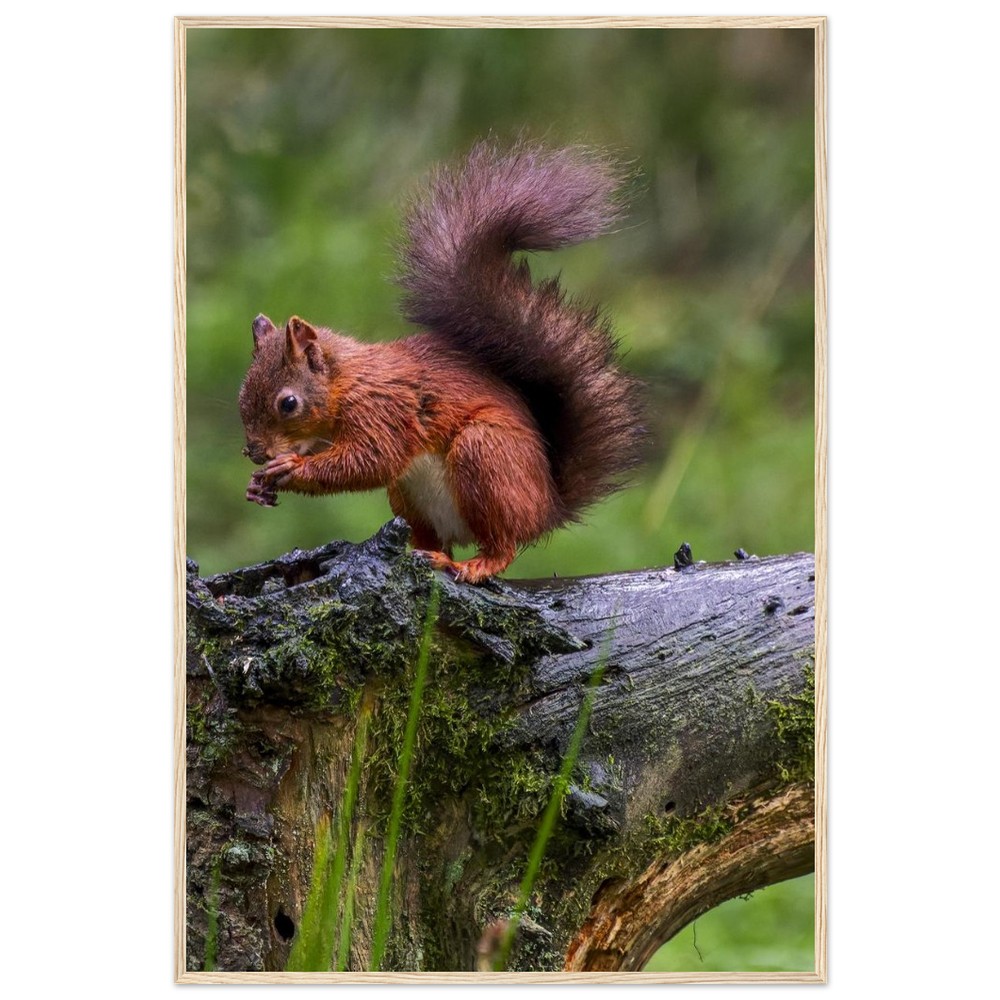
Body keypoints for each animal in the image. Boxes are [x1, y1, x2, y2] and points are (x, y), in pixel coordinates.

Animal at [239, 142, 646, 584]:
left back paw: (474, 564)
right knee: (432, 536)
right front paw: (258, 485)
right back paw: (425, 552)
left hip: (486, 457)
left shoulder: (383, 409)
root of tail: (546, 508)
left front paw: (291, 468)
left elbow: (369, 460)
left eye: (288, 403)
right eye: (241, 395)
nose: (254, 452)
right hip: (408, 496)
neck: (346, 382)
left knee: (503, 543)